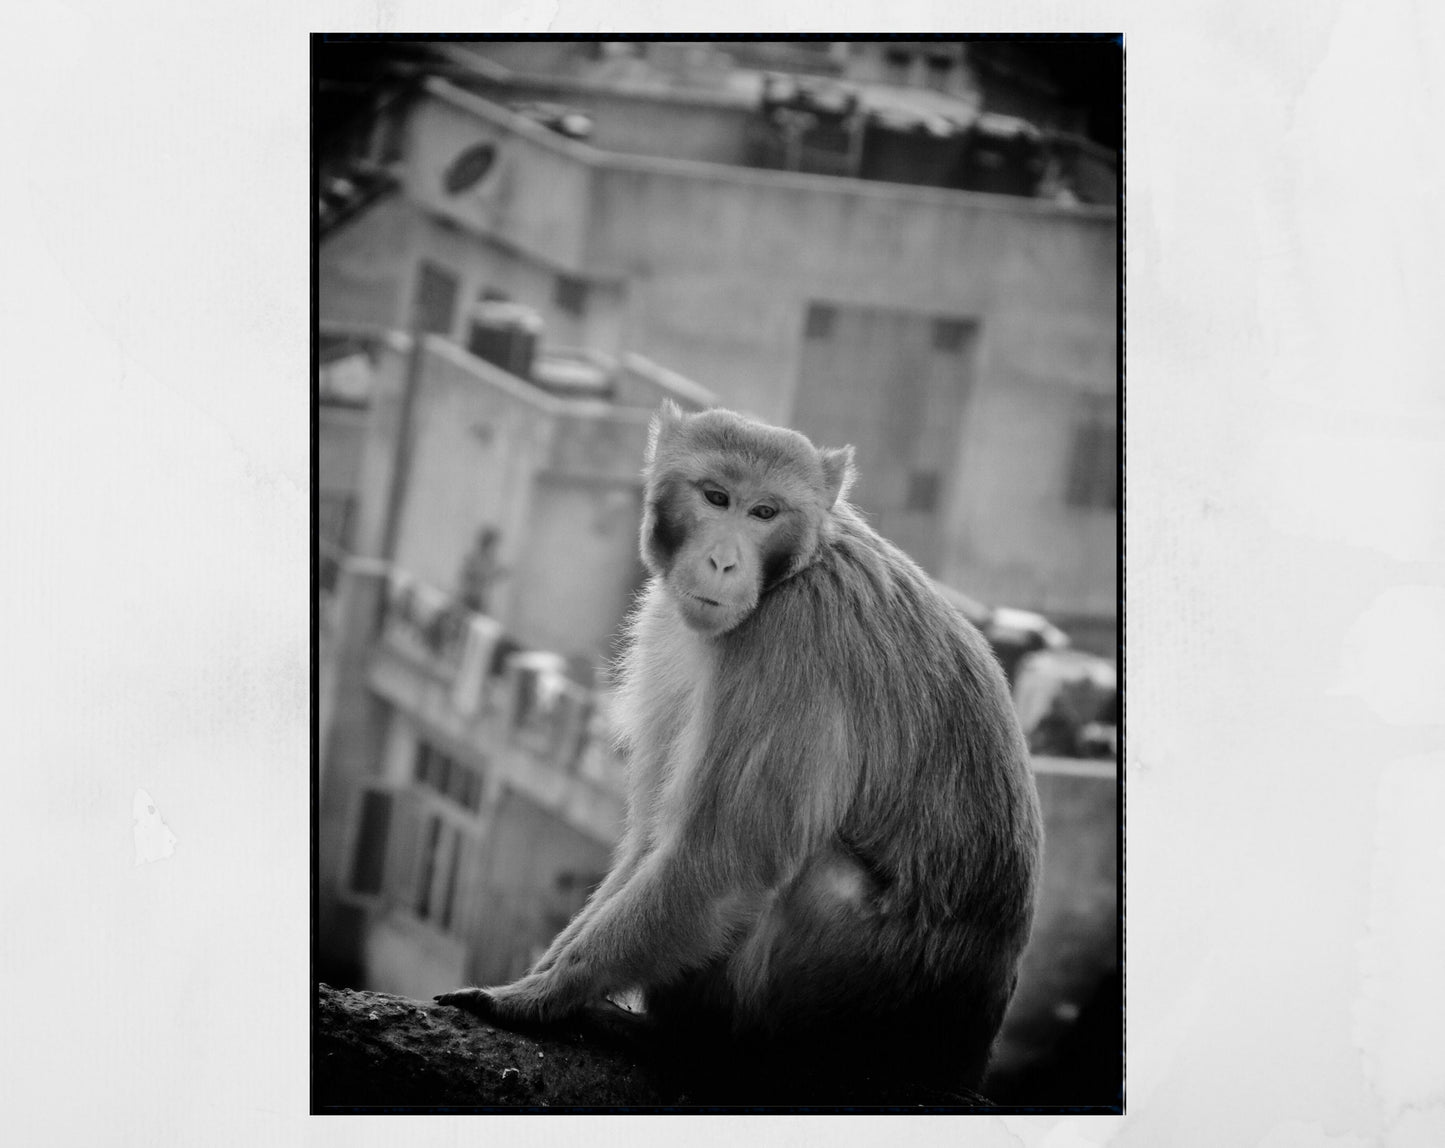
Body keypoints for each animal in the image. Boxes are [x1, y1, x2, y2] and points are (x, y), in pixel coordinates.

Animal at [437, 402, 1043, 1103]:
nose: (725, 562)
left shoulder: (793, 643)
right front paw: (550, 975)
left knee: (817, 877)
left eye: (765, 512)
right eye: (717, 498)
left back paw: (702, 1045)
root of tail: (962, 1060)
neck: (795, 571)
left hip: (853, 993)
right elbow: (653, 840)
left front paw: (538, 996)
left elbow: (726, 859)